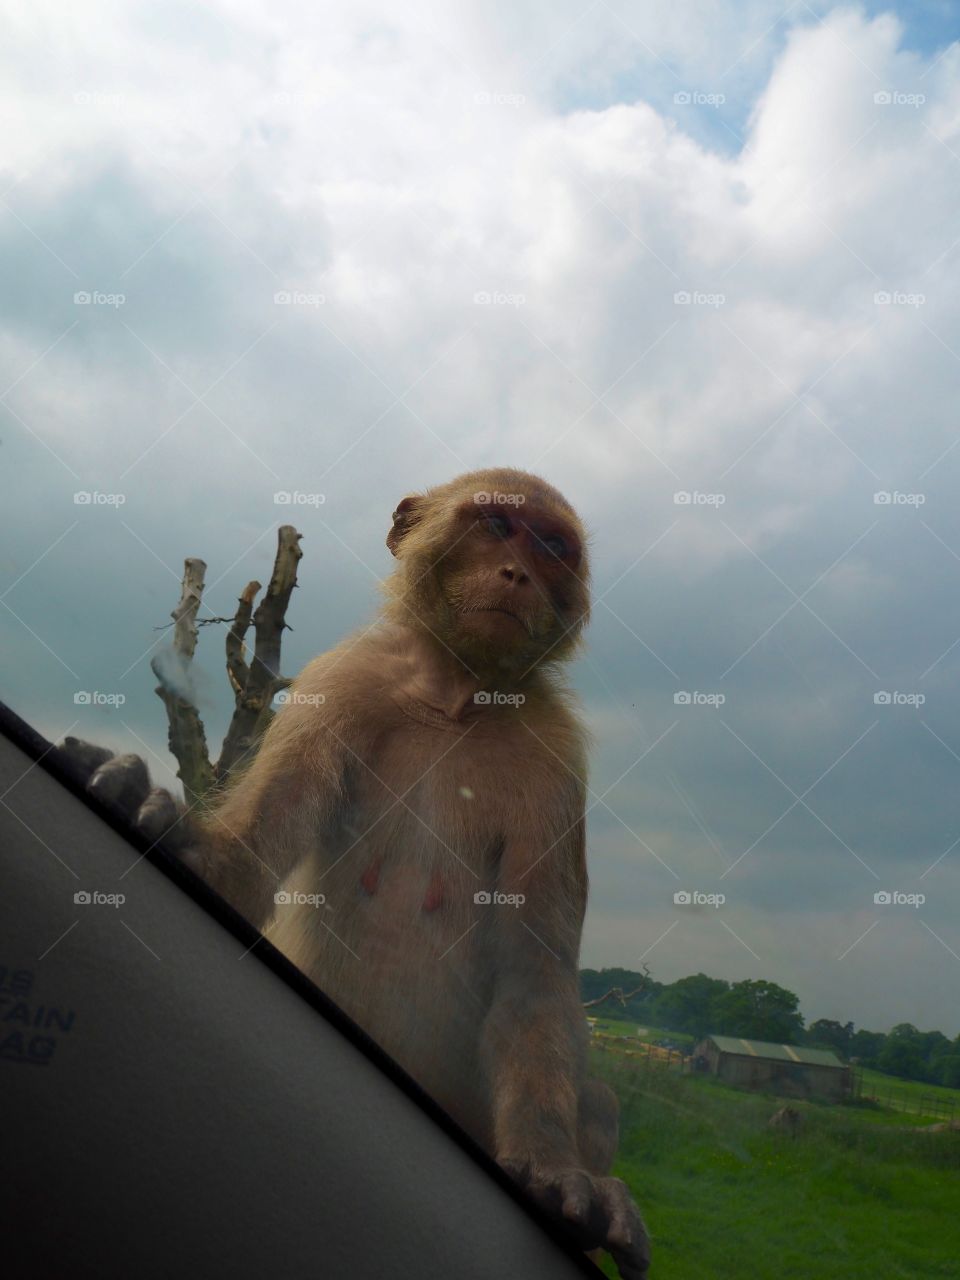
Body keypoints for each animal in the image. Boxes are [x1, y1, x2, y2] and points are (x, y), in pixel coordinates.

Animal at [65, 468, 650, 1278]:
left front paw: (558, 1171)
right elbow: (251, 858)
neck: (455, 698)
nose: (519, 574)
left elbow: (533, 975)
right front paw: (156, 816)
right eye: (498, 527)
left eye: (554, 546)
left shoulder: (556, 759)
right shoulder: (340, 686)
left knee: (595, 1093)